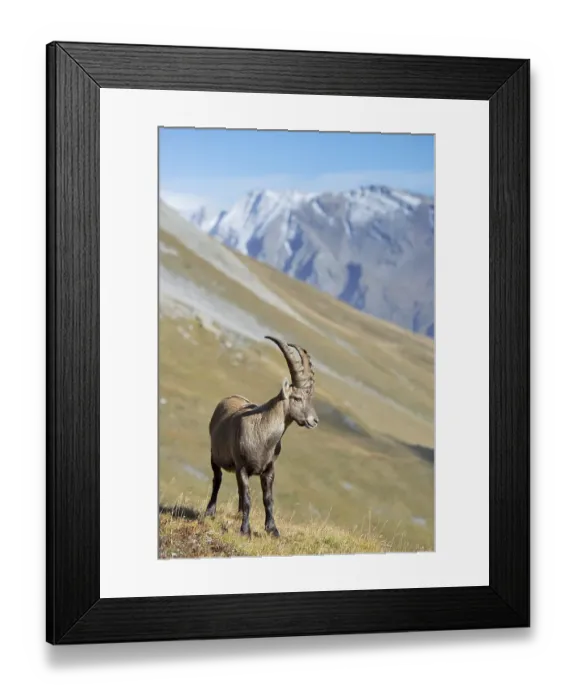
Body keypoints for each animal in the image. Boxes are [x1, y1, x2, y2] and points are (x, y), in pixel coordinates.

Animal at [205, 336, 319, 537]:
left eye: (309, 397)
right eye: (297, 398)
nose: (314, 420)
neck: (264, 437)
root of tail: (230, 397)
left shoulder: (268, 470)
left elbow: (268, 499)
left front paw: (273, 530)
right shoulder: (241, 467)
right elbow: (249, 499)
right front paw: (245, 531)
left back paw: (238, 513)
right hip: (215, 457)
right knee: (217, 480)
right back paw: (210, 511)